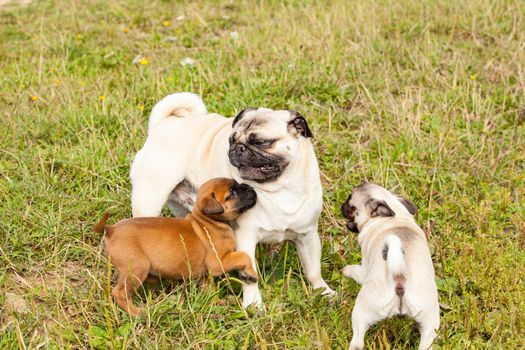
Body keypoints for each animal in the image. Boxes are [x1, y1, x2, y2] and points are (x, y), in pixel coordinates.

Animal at [95, 176, 258, 316]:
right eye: (232, 192)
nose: (250, 187)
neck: (208, 221)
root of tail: (111, 229)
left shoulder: (204, 276)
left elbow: (209, 290)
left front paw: (218, 302)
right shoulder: (218, 263)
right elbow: (244, 255)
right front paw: (250, 274)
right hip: (137, 267)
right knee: (119, 293)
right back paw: (136, 313)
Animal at [129, 92, 334, 306]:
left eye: (261, 142)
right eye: (231, 140)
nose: (238, 148)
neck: (280, 189)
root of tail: (164, 123)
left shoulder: (308, 236)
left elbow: (313, 270)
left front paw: (323, 292)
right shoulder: (246, 236)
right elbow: (249, 275)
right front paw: (253, 304)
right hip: (149, 198)